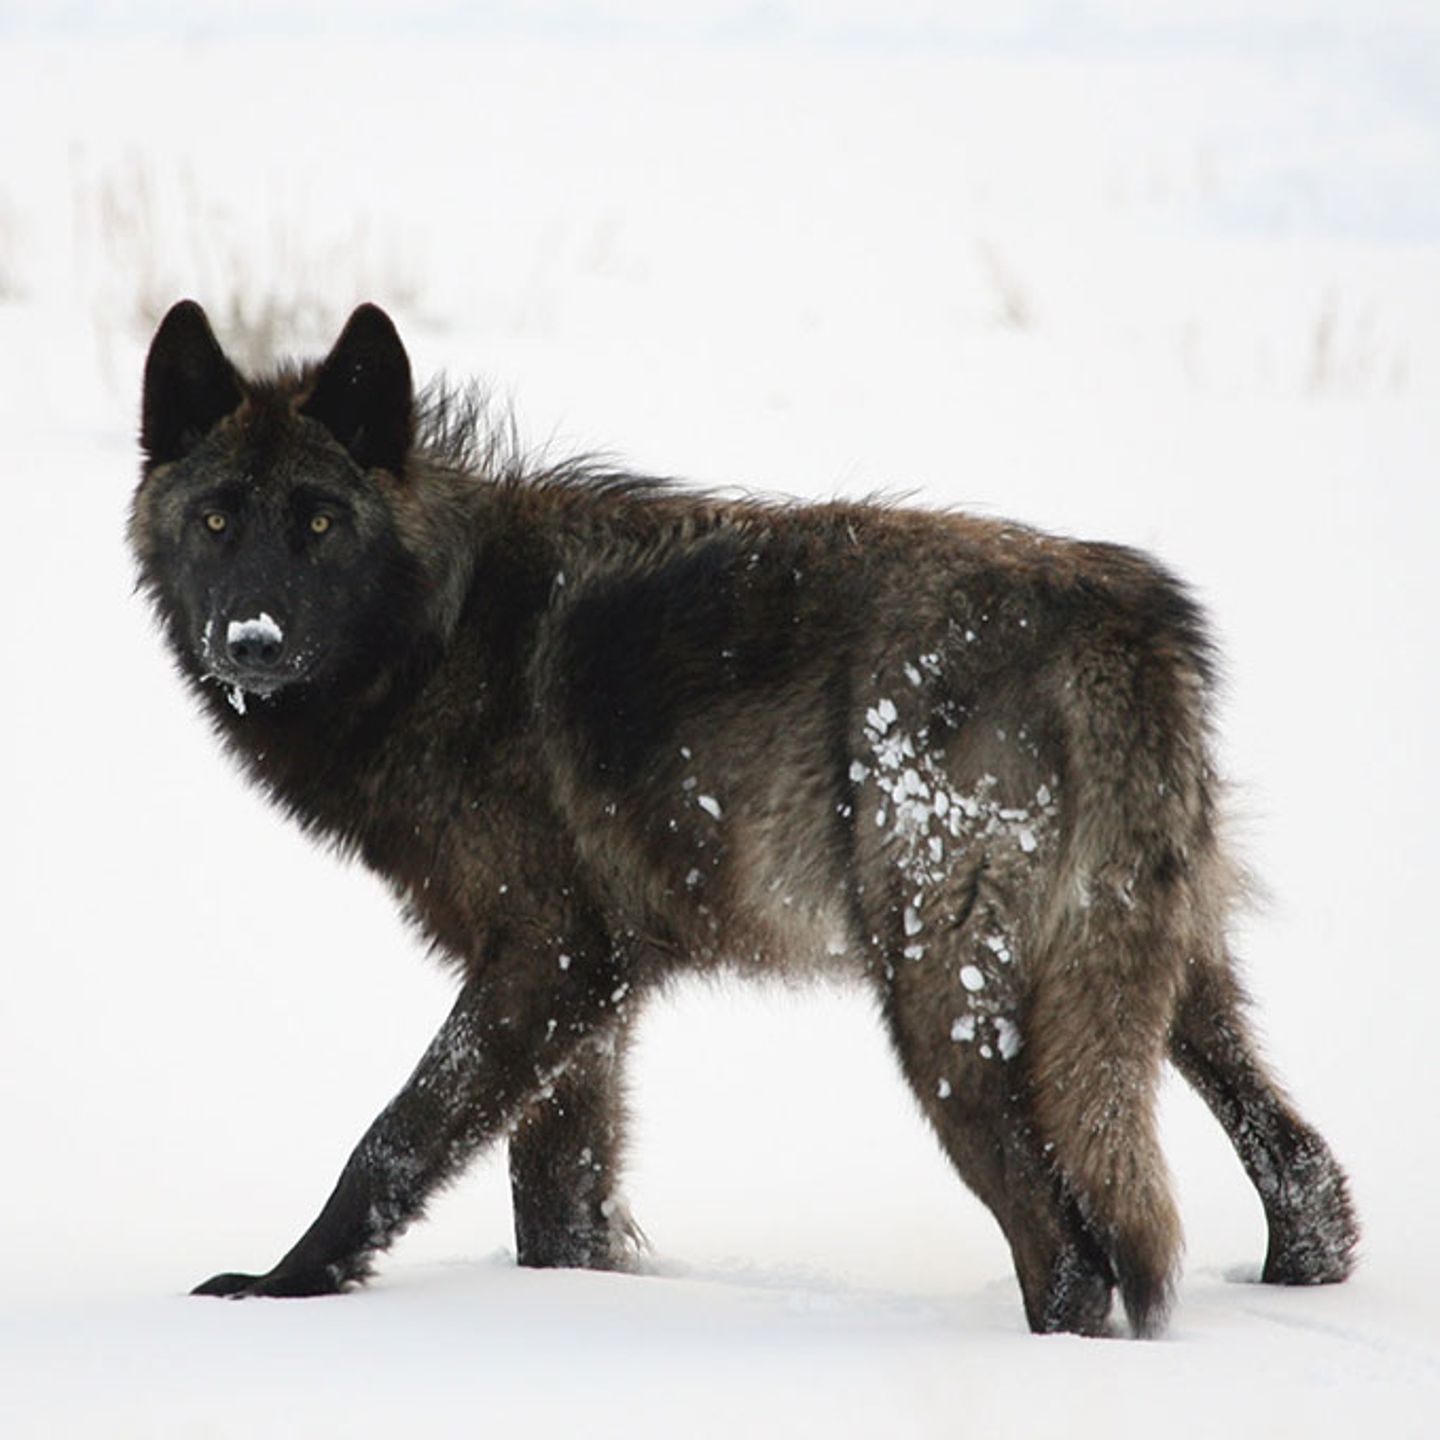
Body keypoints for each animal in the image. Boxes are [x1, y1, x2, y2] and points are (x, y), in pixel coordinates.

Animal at [130, 299, 1357, 1337]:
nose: (250, 640)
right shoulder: (592, 998)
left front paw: (281, 1288)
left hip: (943, 1011)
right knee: (1305, 1172)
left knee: (1070, 1252)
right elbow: (557, 1208)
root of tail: (1119, 618)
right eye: (218, 518)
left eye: (321, 523)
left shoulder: (547, 960)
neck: (440, 632)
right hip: (1159, 980)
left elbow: (392, 1140)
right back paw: (1297, 1277)